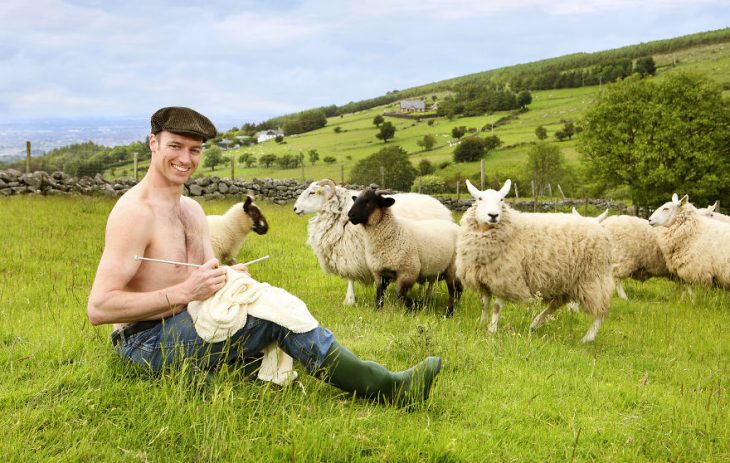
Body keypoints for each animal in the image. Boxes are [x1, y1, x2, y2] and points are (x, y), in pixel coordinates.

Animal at [292, 179, 452, 306]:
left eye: (312, 193)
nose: (295, 208)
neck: (338, 212)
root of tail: (441, 205)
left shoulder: (351, 253)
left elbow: (350, 278)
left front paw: (349, 300)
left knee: (432, 279)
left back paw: (428, 296)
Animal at [346, 188, 460, 316]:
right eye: (357, 199)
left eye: (368, 201)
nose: (350, 215)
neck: (394, 230)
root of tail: (456, 226)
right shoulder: (380, 272)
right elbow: (379, 294)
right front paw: (378, 310)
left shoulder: (409, 271)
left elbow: (399, 293)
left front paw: (414, 307)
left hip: (453, 269)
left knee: (454, 292)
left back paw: (448, 313)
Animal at [458, 181, 612, 344]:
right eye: (479, 198)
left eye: (501, 199)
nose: (493, 215)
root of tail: (599, 227)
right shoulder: (484, 277)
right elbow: (484, 304)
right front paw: (481, 323)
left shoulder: (506, 278)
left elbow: (496, 307)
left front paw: (491, 330)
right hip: (567, 281)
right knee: (557, 303)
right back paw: (535, 324)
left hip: (593, 278)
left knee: (601, 311)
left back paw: (588, 338)